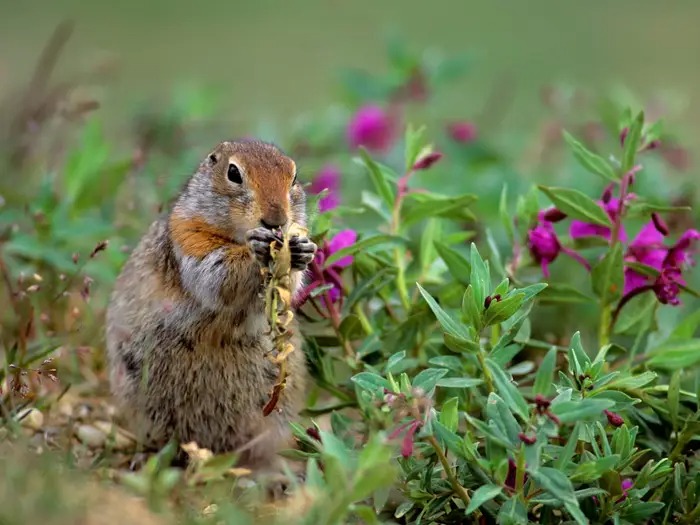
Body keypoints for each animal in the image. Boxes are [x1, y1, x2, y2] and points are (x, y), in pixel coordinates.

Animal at [104, 137, 318, 468]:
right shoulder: (190, 238)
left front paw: (302, 248)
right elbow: (217, 274)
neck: (236, 235)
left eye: (294, 177)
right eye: (233, 173)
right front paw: (257, 250)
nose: (277, 221)